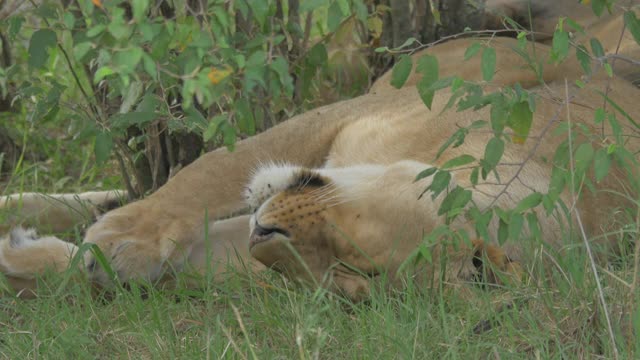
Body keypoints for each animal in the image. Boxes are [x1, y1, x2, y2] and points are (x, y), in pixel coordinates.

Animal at [3, 0, 640, 300]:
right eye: (352, 239)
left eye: (339, 275)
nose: (265, 233)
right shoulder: (346, 114)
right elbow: (208, 171)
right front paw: (122, 240)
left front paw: (38, 263)